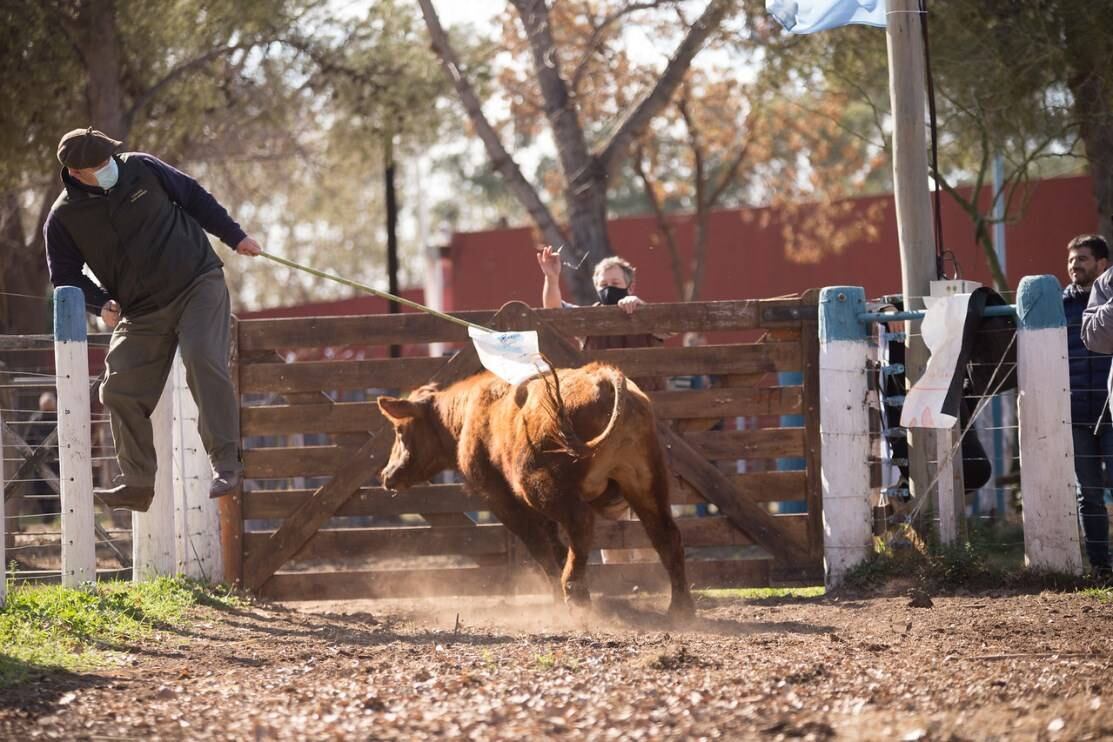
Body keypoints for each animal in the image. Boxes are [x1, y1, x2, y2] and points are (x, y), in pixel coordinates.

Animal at [382, 362, 694, 618]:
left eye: (399, 431)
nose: (387, 475)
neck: (470, 413)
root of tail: (602, 376)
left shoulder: (502, 499)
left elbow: (540, 547)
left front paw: (556, 597)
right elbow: (554, 546)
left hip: (542, 487)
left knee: (581, 525)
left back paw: (575, 594)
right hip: (644, 482)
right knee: (666, 535)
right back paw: (680, 607)